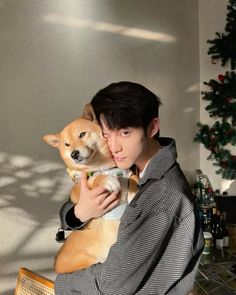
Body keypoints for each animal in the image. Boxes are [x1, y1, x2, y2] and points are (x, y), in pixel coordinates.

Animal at [43, 105, 137, 274]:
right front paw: (107, 180)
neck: (102, 168)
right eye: (67, 145)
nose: (74, 154)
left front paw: (134, 190)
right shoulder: (79, 191)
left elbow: (133, 178)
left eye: (82, 134)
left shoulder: (126, 173)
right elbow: (93, 181)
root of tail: (55, 264)